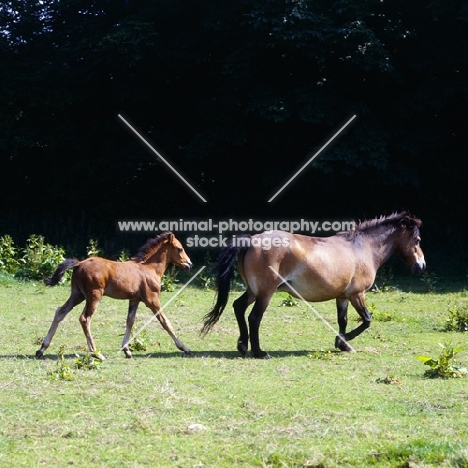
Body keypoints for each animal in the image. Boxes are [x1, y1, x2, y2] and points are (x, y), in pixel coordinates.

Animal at [36, 232, 194, 360]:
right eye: (180, 249)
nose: (189, 264)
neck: (149, 268)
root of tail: (79, 263)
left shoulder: (134, 300)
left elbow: (130, 321)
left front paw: (127, 350)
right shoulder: (152, 300)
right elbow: (165, 322)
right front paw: (185, 348)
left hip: (77, 295)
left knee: (60, 312)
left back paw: (41, 349)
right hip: (94, 296)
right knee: (84, 319)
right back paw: (97, 353)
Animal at [201, 212, 424, 358]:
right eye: (417, 239)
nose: (421, 266)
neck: (362, 248)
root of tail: (251, 239)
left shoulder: (342, 296)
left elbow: (342, 320)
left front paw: (343, 344)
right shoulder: (357, 294)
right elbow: (367, 320)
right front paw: (343, 342)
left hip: (253, 291)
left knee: (238, 307)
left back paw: (242, 346)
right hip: (265, 293)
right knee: (254, 318)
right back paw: (259, 352)